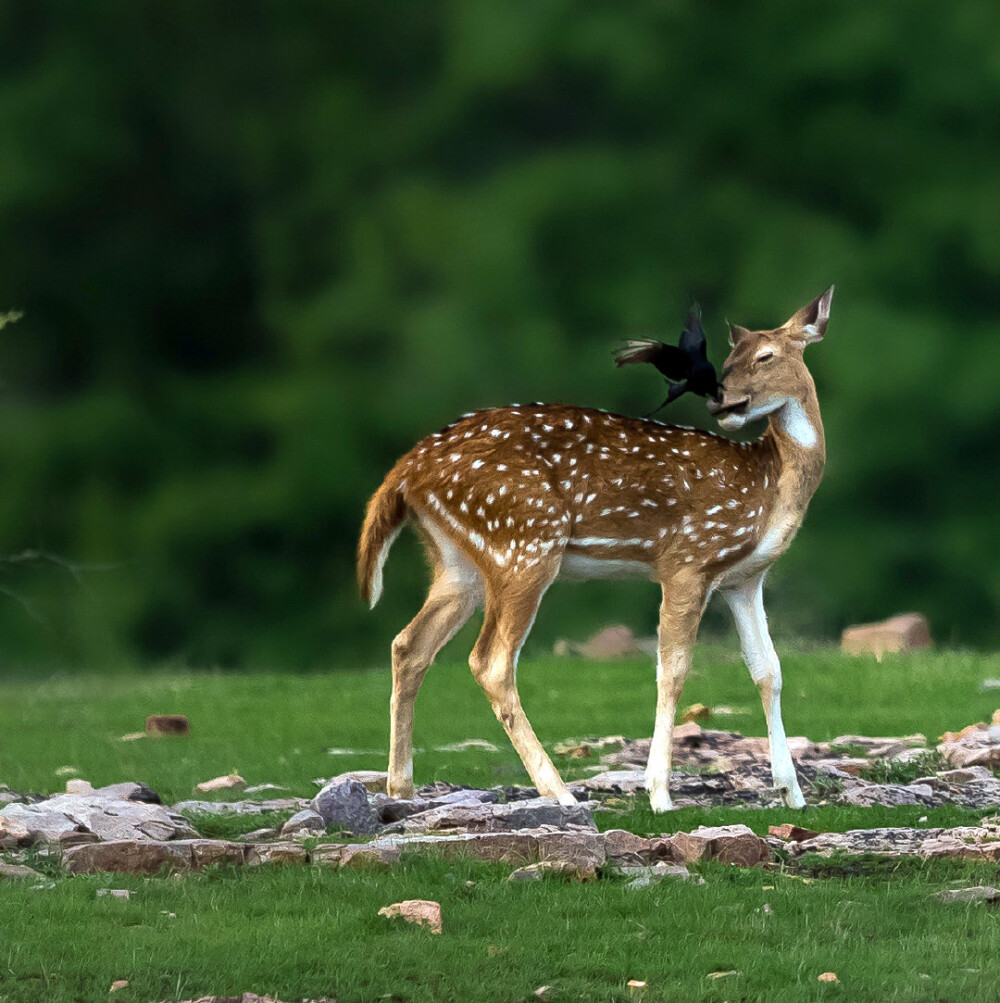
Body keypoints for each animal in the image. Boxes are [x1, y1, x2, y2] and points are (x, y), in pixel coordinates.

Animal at [355, 286, 830, 810]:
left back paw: (401, 786)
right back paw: (559, 792)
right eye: (728, 359)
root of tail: (405, 472)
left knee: (408, 645)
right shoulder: (688, 558)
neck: (768, 485)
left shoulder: (744, 579)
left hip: (460, 562)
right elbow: (673, 671)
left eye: (766, 355)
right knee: (491, 661)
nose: (723, 400)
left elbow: (769, 670)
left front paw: (792, 793)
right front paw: (659, 794)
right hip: (524, 539)